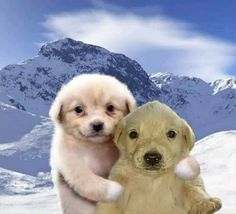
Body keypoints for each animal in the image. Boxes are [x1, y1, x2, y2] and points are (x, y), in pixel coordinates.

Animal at [49, 74, 136, 214]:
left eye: (110, 108)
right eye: (79, 109)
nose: (97, 125)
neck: (95, 146)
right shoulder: (69, 159)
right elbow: (86, 179)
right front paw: (115, 189)